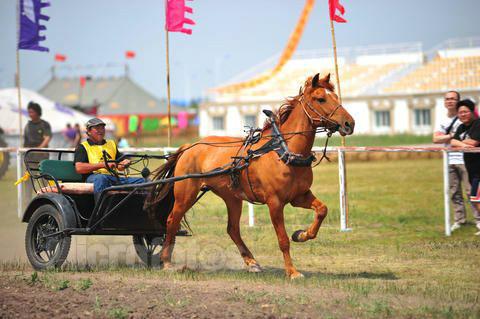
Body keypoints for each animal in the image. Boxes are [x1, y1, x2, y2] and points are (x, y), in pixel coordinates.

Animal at [148, 74, 354, 278]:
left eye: (336, 97)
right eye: (321, 99)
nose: (349, 123)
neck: (283, 151)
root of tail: (189, 147)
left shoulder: (299, 196)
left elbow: (322, 210)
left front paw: (302, 234)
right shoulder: (275, 202)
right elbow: (283, 239)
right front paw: (292, 271)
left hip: (232, 198)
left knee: (232, 229)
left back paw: (252, 262)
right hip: (186, 195)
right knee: (172, 220)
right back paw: (166, 261)